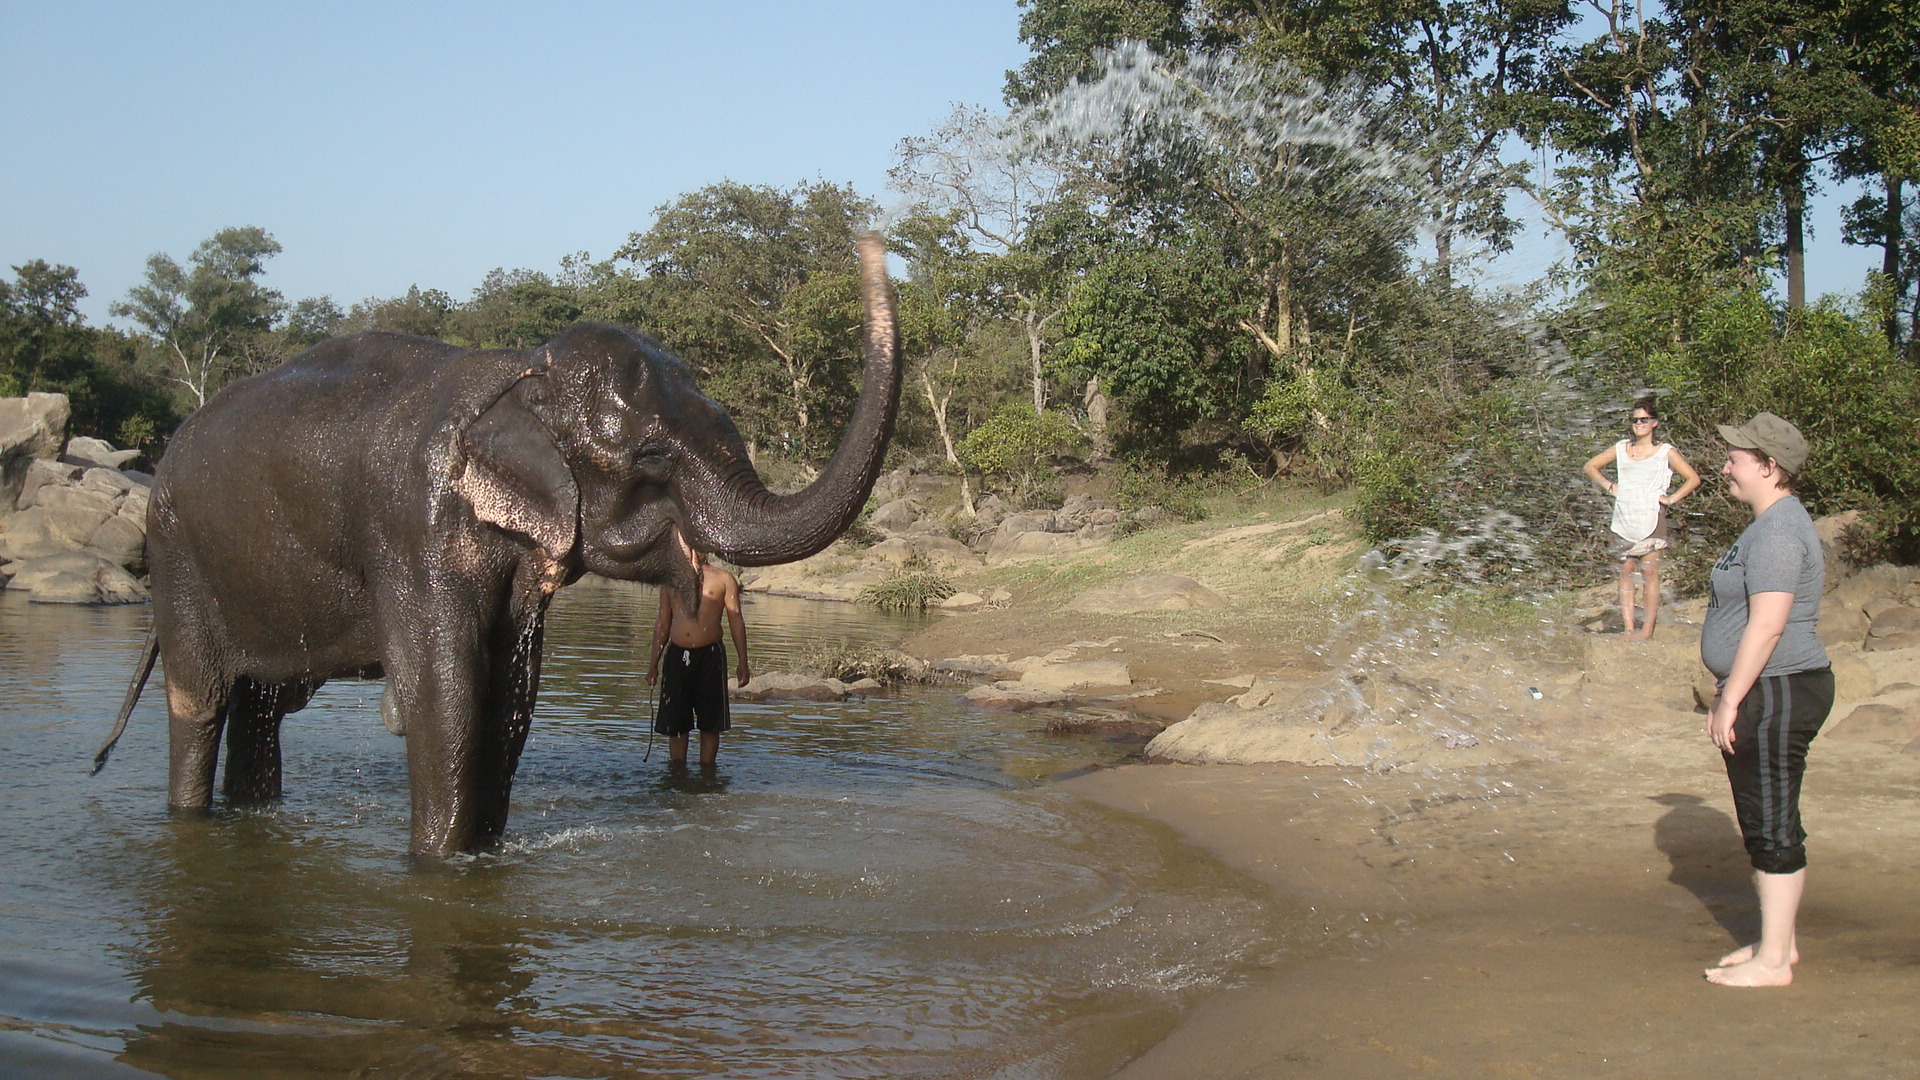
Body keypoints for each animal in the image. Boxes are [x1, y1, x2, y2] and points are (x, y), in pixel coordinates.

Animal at [94, 233, 900, 856]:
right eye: (650, 459)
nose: (870, 237)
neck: (519, 371)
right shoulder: (411, 524)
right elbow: (442, 692)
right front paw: (440, 863)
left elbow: (511, 695)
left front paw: (483, 849)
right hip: (177, 553)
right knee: (200, 700)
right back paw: (190, 812)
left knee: (262, 707)